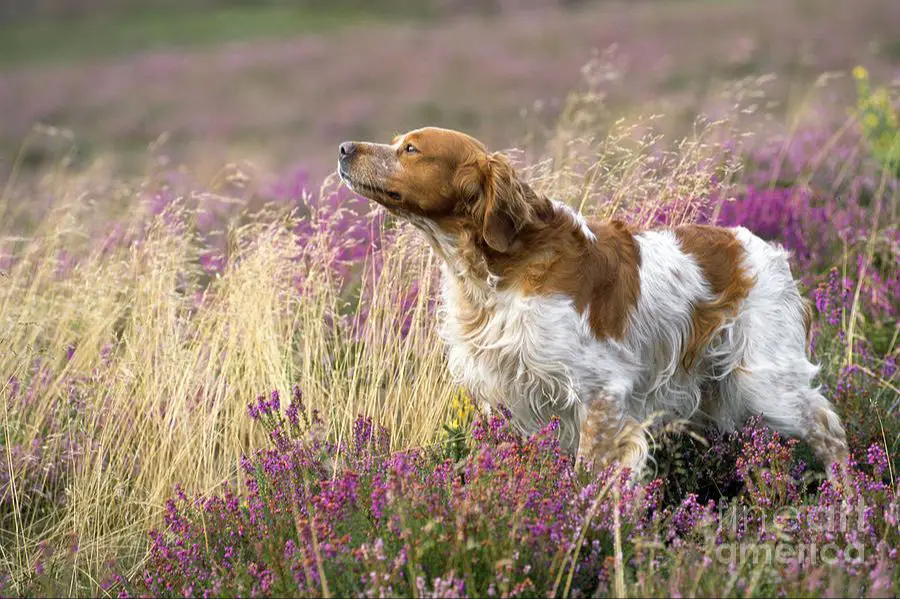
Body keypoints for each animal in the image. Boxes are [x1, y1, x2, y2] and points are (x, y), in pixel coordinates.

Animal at [338, 126, 852, 478]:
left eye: (410, 149)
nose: (344, 148)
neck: (496, 271)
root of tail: (769, 252)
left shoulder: (602, 392)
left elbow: (589, 473)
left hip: (766, 381)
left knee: (829, 430)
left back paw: (847, 503)